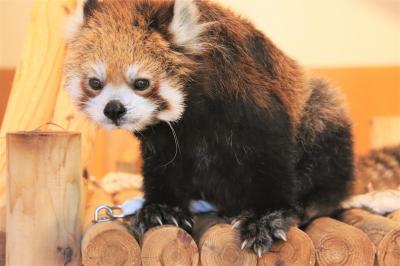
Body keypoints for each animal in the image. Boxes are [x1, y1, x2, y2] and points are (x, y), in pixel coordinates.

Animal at [65, 0, 354, 258]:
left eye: (141, 83)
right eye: (95, 83)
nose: (113, 109)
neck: (192, 115)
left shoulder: (248, 100)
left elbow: (269, 158)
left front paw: (265, 218)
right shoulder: (167, 138)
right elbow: (163, 168)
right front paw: (161, 208)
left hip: (319, 118)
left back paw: (312, 203)